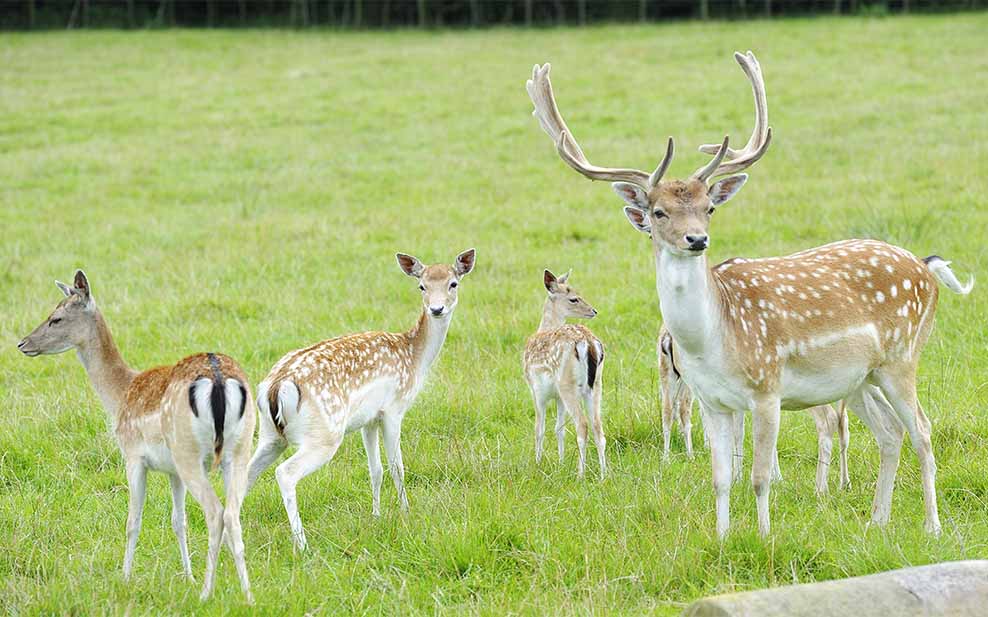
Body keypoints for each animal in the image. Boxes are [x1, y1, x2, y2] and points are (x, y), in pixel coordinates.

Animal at [17, 272, 255, 600]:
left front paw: (125, 578)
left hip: (189, 454)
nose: (22, 343)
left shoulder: (132, 455)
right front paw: (188, 576)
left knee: (215, 512)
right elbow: (178, 521)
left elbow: (133, 520)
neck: (120, 395)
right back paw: (247, 595)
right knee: (232, 513)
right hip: (240, 448)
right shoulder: (172, 470)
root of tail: (219, 381)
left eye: (56, 318)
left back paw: (207, 594)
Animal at [247, 248, 478, 552]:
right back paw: (302, 545)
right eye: (422, 286)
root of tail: (276, 387)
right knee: (285, 473)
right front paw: (406, 513)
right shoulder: (394, 409)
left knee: (243, 474)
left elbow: (375, 470)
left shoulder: (369, 419)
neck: (415, 358)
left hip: (269, 435)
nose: (437, 309)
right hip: (323, 433)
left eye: (453, 283)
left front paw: (376, 515)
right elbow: (397, 466)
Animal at [520, 268, 604, 476]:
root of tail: (589, 343)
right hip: (596, 385)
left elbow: (539, 428)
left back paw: (580, 474)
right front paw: (561, 462)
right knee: (598, 426)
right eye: (573, 298)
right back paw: (604, 474)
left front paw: (538, 463)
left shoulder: (535, 389)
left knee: (582, 425)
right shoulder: (557, 397)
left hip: (568, 384)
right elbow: (559, 428)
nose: (593, 311)